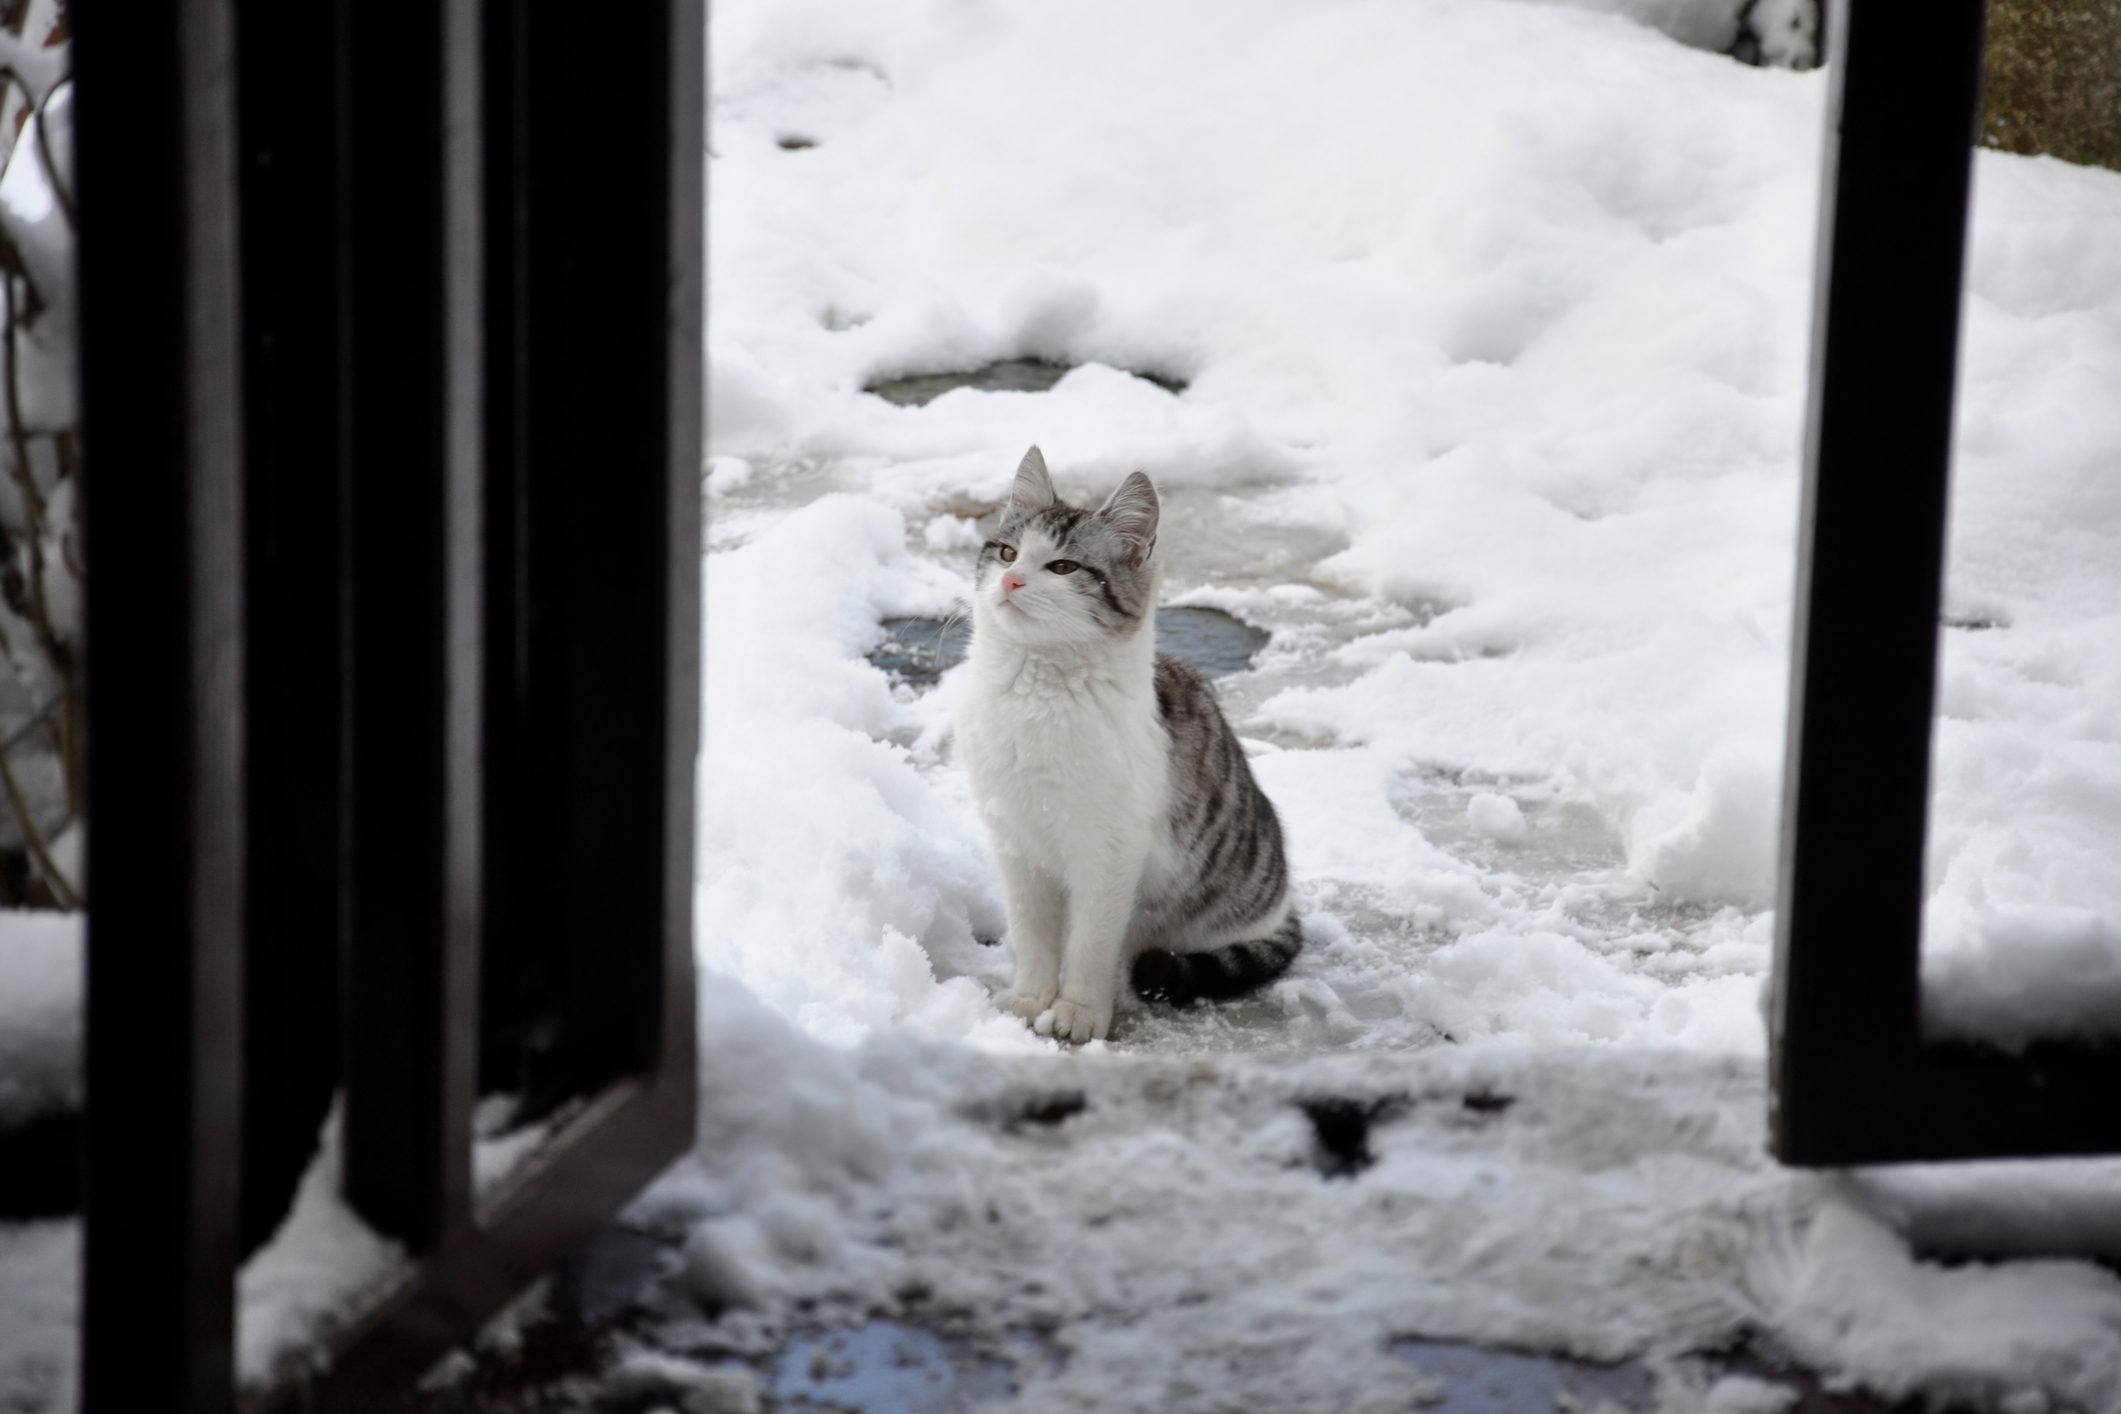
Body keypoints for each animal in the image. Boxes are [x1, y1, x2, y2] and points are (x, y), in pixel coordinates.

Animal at [958, 447, 1289, 1047]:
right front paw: (1030, 998)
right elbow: (1033, 932)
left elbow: (1090, 943)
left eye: (1063, 568)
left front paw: (1078, 1012)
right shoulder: (1014, 839)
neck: (1036, 694)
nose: (1011, 581)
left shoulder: (1111, 849)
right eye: (1007, 552)